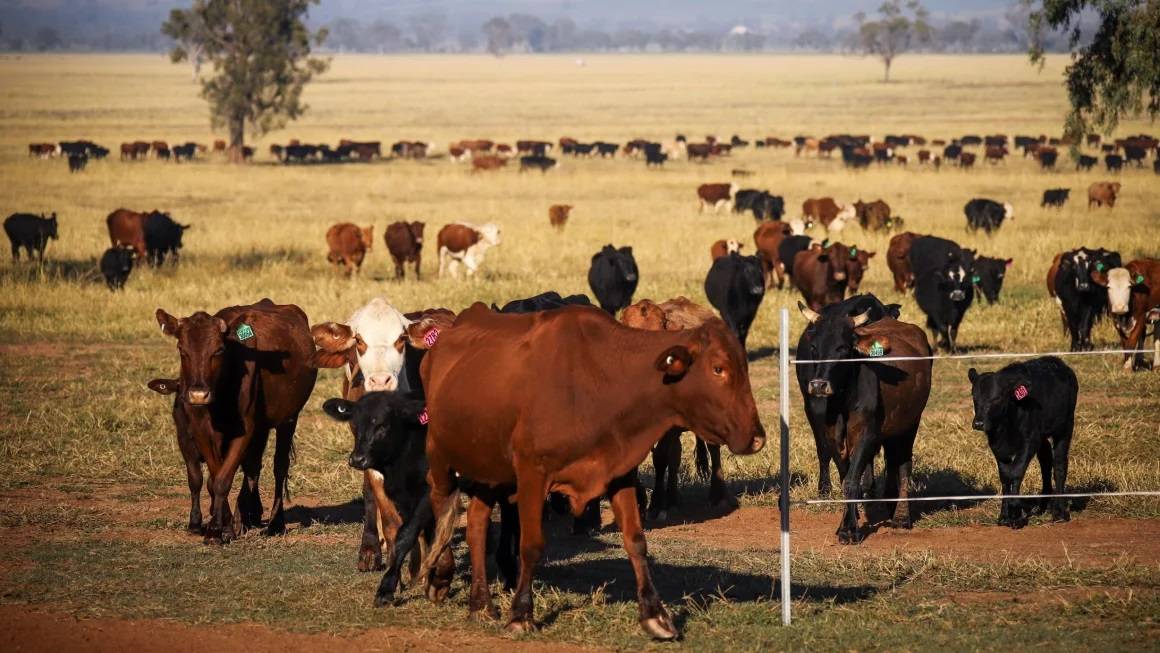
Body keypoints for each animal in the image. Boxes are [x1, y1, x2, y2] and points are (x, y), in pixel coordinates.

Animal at [151, 299, 322, 545]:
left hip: (289, 419)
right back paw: (247, 516)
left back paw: (275, 523)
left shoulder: (245, 431)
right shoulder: (201, 432)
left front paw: (216, 530)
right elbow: (214, 478)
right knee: (253, 466)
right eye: (182, 350)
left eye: (219, 350)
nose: (198, 395)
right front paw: (226, 525)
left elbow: (223, 479)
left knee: (279, 466)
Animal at [422, 306, 765, 640]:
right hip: (439, 455)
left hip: (489, 467)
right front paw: (521, 615)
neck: (601, 380)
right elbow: (531, 546)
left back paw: (480, 604)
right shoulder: (533, 474)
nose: (757, 437)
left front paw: (654, 614)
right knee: (439, 501)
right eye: (718, 368)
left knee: (477, 523)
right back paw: (440, 573)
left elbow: (636, 541)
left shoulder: (619, 471)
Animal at [798, 294, 932, 542]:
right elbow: (845, 477)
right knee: (892, 460)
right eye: (814, 347)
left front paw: (849, 529)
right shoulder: (833, 437)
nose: (818, 385)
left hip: (911, 422)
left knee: (903, 465)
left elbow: (852, 480)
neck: (844, 401)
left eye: (842, 348)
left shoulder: (866, 435)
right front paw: (849, 520)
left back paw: (901, 517)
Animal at [960, 354, 1076, 528]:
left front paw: (1015, 514)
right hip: (1042, 436)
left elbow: (1015, 472)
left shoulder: (1029, 442)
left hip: (1065, 427)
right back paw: (1042, 506)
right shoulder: (997, 445)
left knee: (1059, 464)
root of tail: (1057, 362)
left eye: (996, 398)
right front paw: (1004, 516)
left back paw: (1060, 512)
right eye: (974, 397)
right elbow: (1005, 476)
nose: (978, 423)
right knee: (1046, 461)